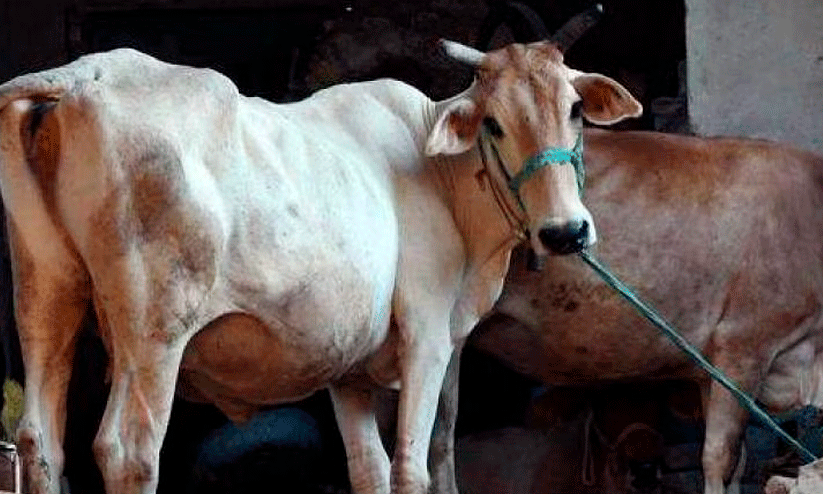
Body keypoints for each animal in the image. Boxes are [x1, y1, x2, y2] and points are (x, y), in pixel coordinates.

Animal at [0, 28, 641, 494]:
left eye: (576, 109)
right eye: (493, 122)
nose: (565, 232)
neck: (442, 179)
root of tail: (84, 74)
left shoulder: (349, 368)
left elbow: (371, 469)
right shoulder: (429, 336)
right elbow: (413, 466)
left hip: (46, 292)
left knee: (38, 443)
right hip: (154, 330)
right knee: (127, 451)